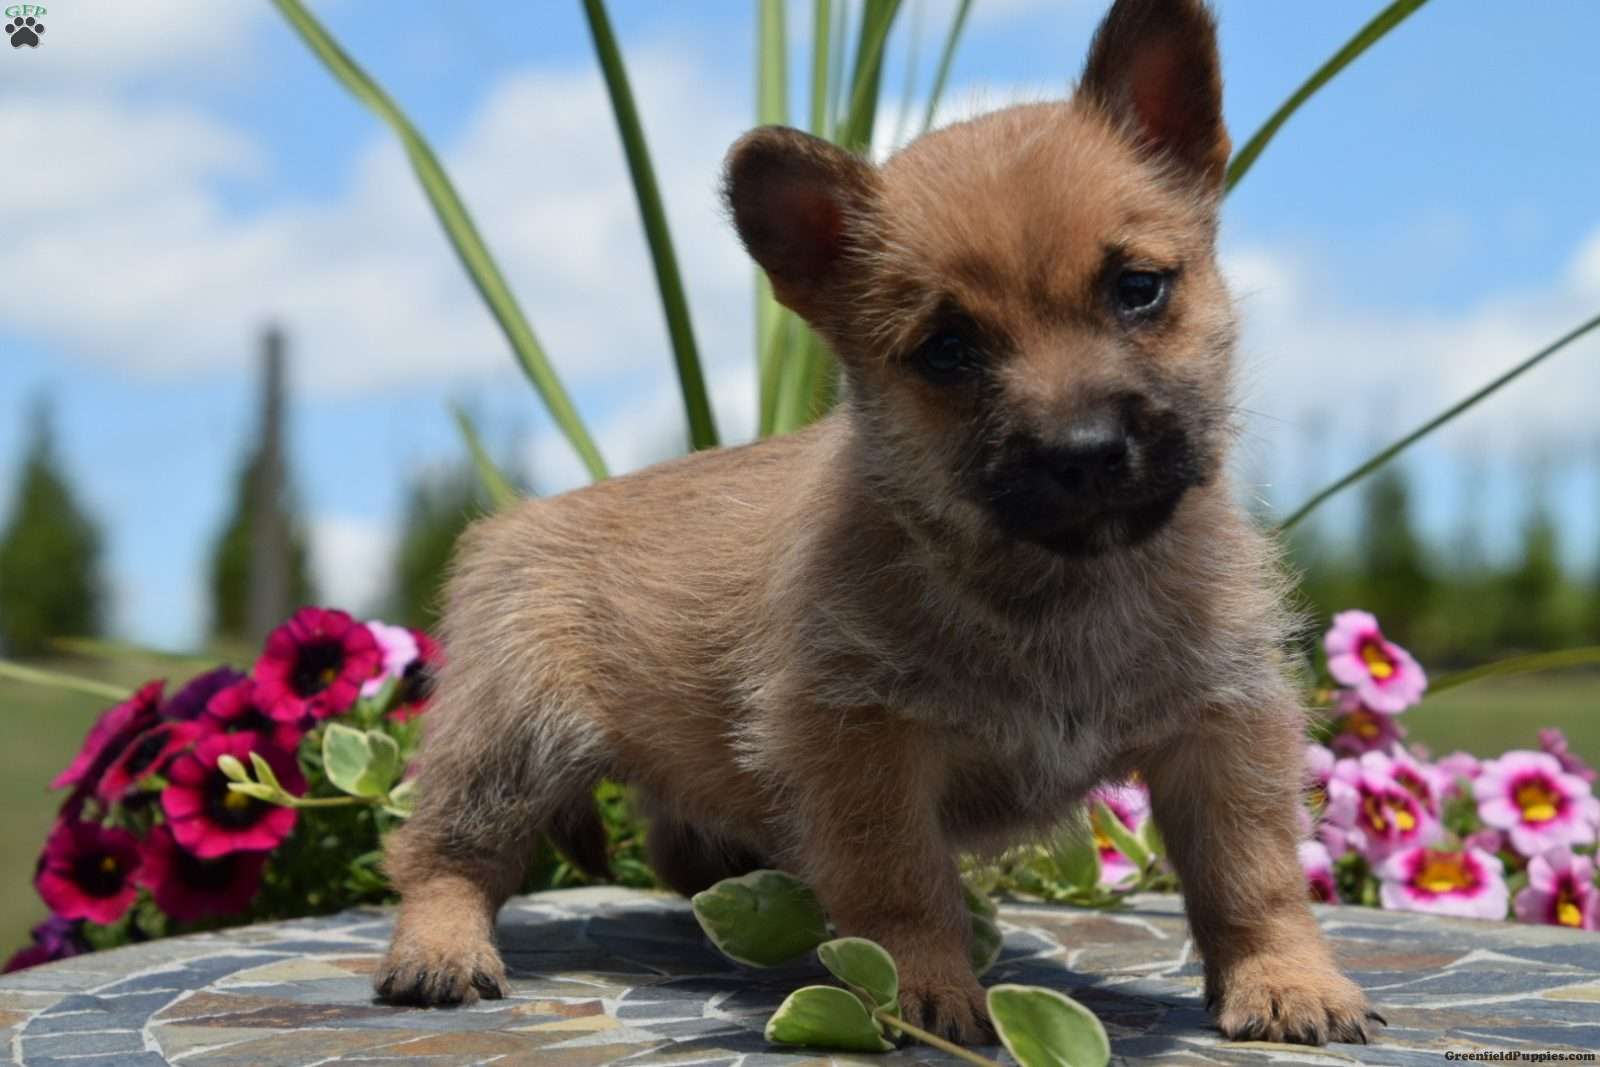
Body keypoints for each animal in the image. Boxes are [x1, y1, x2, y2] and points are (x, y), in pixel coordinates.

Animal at [374, 0, 1376, 1049]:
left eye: (1138, 289)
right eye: (948, 348)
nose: (1087, 451)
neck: (1054, 583)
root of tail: (515, 524)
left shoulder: (1221, 729)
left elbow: (1252, 875)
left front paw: (1287, 979)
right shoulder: (867, 743)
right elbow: (900, 885)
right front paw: (922, 989)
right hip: (507, 739)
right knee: (442, 854)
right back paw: (441, 950)